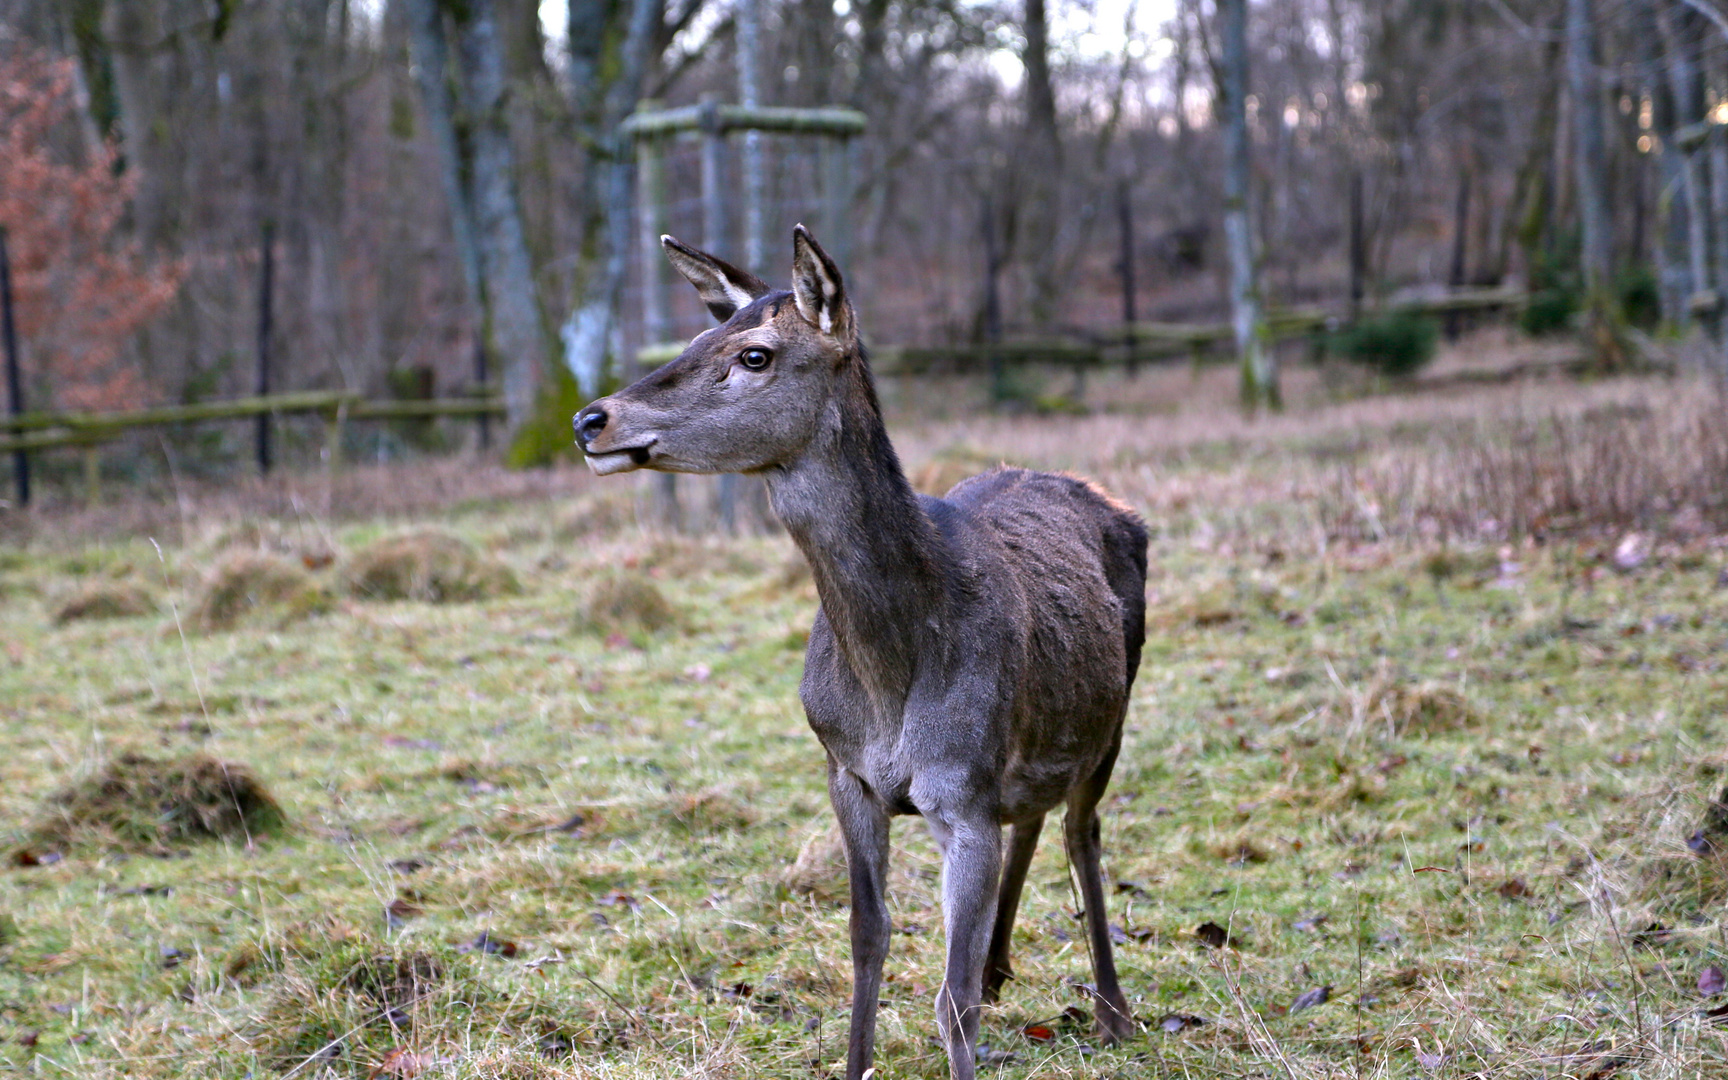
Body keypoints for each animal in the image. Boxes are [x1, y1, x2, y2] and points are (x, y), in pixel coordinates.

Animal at [577, 224, 1147, 1078]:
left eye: (754, 354)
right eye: (697, 336)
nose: (591, 419)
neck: (889, 676)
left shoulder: (963, 791)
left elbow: (951, 1001)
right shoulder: (846, 773)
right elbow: (866, 942)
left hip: (1113, 714)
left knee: (1083, 829)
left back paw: (1112, 1010)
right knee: (1034, 817)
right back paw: (1002, 964)